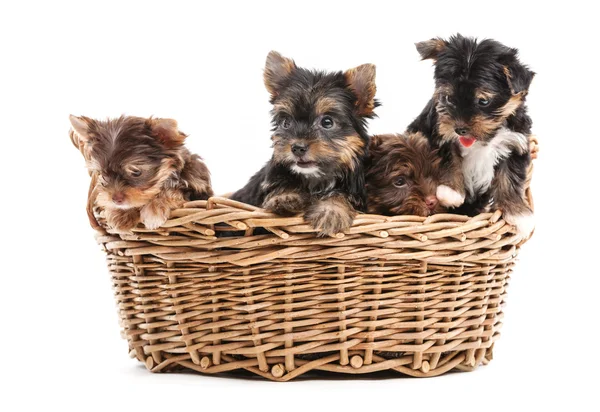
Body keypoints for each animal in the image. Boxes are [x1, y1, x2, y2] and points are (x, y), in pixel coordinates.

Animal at [69, 114, 213, 233]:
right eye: (103, 174)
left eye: (136, 172)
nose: (116, 199)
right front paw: (120, 214)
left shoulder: (196, 188)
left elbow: (171, 190)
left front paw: (154, 209)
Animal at [231, 50, 378, 235]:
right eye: (286, 123)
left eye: (327, 122)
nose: (297, 147)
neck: (315, 178)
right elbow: (282, 184)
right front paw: (285, 197)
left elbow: (340, 194)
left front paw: (331, 211)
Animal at [408, 35, 536, 238]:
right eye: (448, 98)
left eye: (483, 101)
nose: (459, 129)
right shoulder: (438, 133)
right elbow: (449, 157)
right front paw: (451, 191)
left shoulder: (515, 142)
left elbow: (510, 178)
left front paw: (518, 214)